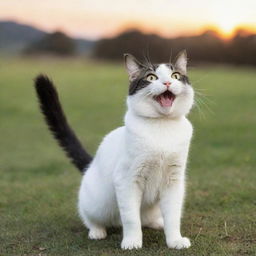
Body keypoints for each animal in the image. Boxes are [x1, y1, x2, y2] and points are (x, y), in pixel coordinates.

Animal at [34, 50, 194, 250]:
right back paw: (97, 231)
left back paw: (158, 223)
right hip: (98, 204)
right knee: (89, 216)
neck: (162, 128)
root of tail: (91, 164)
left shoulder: (174, 181)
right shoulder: (126, 180)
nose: (167, 83)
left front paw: (175, 241)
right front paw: (132, 242)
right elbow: (131, 218)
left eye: (175, 76)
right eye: (151, 77)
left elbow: (173, 216)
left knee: (148, 218)